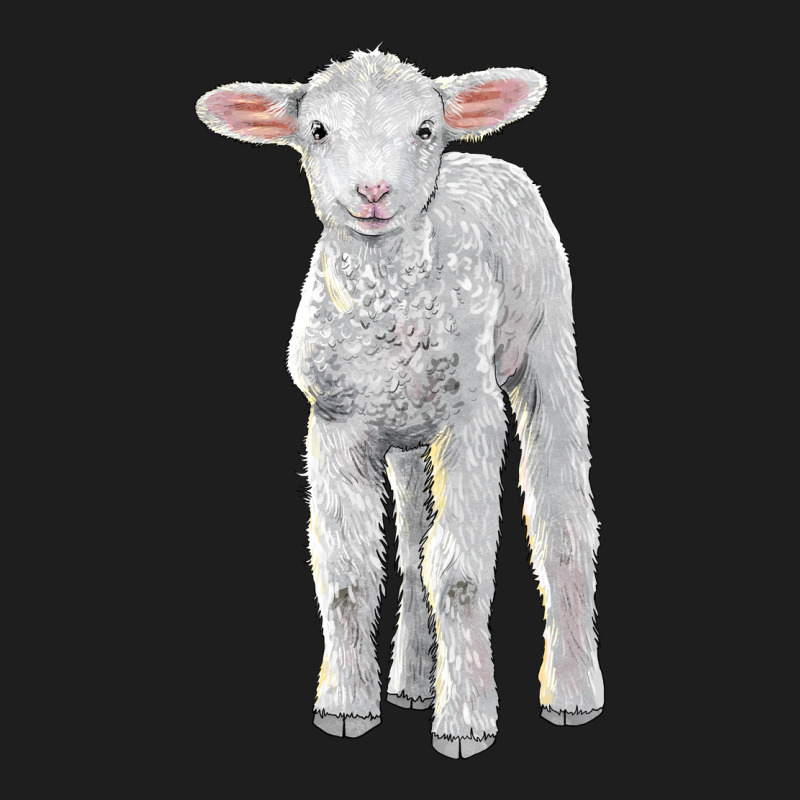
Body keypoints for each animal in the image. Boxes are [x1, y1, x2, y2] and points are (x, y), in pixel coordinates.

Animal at [196, 49, 603, 759]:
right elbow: (347, 574)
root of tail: (480, 158)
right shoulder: (334, 425)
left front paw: (466, 721)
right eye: (318, 130)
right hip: (407, 433)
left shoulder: (472, 419)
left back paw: (573, 691)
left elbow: (461, 574)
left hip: (547, 345)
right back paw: (412, 682)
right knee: (414, 542)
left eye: (423, 129)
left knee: (561, 518)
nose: (373, 192)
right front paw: (345, 706)